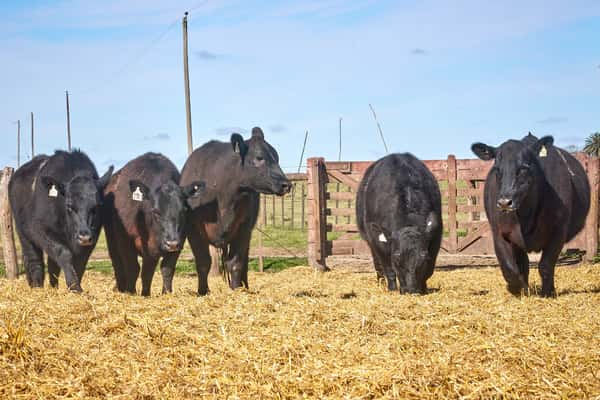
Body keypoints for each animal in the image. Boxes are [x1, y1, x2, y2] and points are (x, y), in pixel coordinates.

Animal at [9, 150, 113, 290]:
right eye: (69, 206)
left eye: (96, 206)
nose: (84, 237)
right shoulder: (41, 230)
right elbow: (63, 253)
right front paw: (74, 287)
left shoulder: (92, 237)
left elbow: (79, 263)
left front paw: (75, 285)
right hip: (23, 232)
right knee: (33, 259)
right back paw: (37, 286)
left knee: (52, 264)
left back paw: (53, 287)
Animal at [103, 153, 206, 296]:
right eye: (156, 212)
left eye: (184, 210)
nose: (171, 243)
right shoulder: (124, 240)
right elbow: (132, 268)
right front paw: (131, 292)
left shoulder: (179, 241)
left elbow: (165, 268)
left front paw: (164, 293)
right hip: (111, 238)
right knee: (117, 263)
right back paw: (121, 288)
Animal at [182, 126, 292, 296]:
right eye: (259, 158)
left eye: (277, 157)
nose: (286, 184)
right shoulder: (193, 230)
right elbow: (203, 262)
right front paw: (203, 291)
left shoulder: (243, 228)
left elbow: (236, 263)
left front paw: (236, 290)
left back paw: (244, 286)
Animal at [356, 153, 440, 294]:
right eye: (396, 257)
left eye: (423, 258)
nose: (411, 290)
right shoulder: (378, 241)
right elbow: (388, 268)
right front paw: (392, 289)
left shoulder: (435, 239)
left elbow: (429, 269)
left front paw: (424, 288)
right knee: (377, 264)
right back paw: (381, 282)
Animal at [474, 134, 592, 296]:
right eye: (497, 169)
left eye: (524, 167)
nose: (505, 202)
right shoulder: (499, 233)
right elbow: (509, 268)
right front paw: (518, 289)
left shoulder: (559, 231)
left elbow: (546, 265)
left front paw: (548, 293)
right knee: (523, 265)